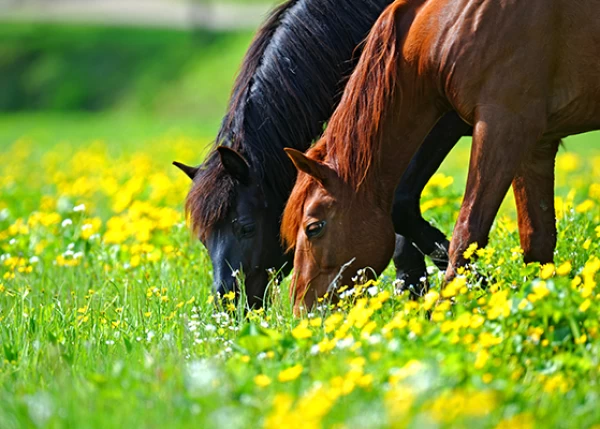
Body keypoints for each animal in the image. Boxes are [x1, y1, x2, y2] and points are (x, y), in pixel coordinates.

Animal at [282, 0, 600, 310]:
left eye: (313, 228)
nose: (301, 310)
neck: (451, 24)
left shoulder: (504, 127)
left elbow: (467, 232)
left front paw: (448, 308)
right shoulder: (536, 145)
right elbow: (537, 240)